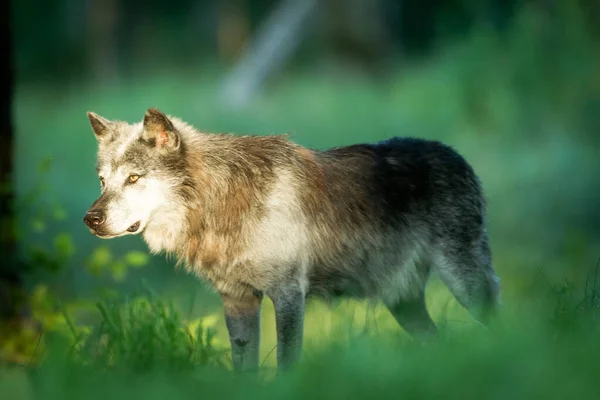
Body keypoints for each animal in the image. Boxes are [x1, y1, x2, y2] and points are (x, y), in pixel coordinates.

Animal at [82, 108, 500, 374]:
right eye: (103, 181)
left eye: (134, 178)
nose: (91, 219)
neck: (220, 202)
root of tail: (455, 154)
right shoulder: (238, 301)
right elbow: (244, 370)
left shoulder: (287, 294)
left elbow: (286, 363)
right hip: (403, 302)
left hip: (464, 282)